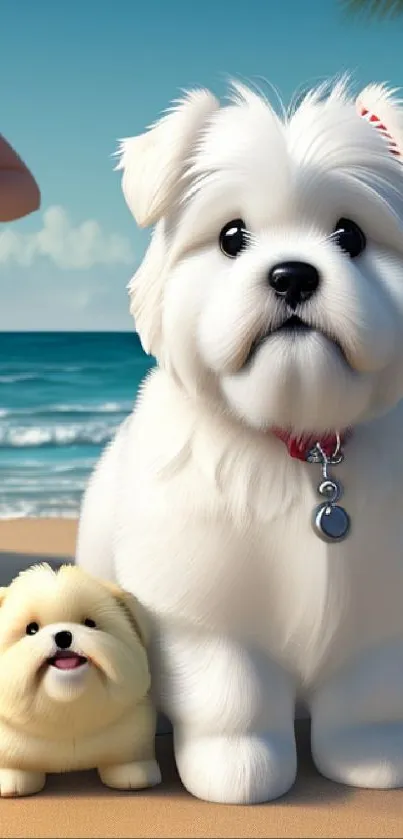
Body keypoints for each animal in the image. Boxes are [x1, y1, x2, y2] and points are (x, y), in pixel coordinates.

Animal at [0, 564, 161, 796]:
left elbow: (129, 760)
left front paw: (134, 776)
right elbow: (14, 767)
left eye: (90, 624)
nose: (63, 635)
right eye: (31, 629)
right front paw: (11, 781)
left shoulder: (133, 739)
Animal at [76, 80, 403, 808]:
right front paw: (239, 770)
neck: (302, 446)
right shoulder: (202, 612)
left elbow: (367, 696)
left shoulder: (378, 615)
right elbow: (232, 695)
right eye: (231, 236)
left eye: (350, 234)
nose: (292, 275)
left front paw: (370, 759)